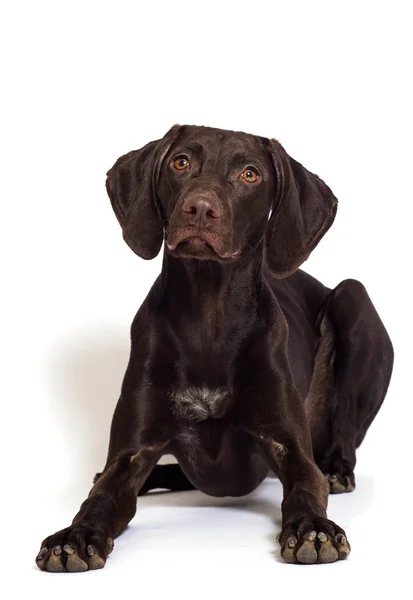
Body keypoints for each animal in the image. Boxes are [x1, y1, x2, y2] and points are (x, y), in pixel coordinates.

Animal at [35, 124, 392, 568]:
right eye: (180, 162)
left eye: (250, 174)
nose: (199, 208)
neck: (209, 320)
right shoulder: (132, 454)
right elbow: (99, 499)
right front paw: (77, 534)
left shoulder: (290, 449)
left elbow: (306, 488)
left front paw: (312, 528)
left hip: (352, 299)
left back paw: (338, 468)